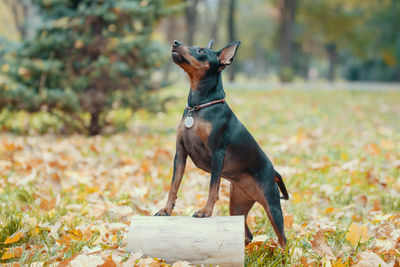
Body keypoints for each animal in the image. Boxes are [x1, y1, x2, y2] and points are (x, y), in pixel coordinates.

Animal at [155, 39, 290, 249]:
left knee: (283, 239)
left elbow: (213, 188)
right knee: (247, 234)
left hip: (272, 206)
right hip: (237, 205)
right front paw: (166, 209)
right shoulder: (180, 154)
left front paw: (206, 211)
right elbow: (174, 185)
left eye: (202, 50)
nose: (176, 42)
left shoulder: (217, 153)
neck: (198, 107)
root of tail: (274, 172)